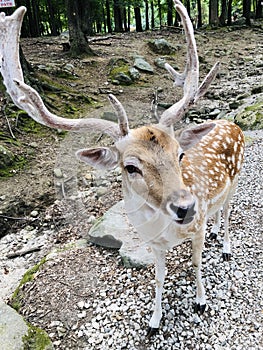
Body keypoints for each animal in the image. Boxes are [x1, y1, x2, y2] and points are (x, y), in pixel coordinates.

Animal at [0, 0, 245, 336]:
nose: (186, 207)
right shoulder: (154, 244)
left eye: (180, 154)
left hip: (236, 179)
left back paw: (226, 245)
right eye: (130, 167)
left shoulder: (195, 230)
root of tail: (232, 123)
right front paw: (154, 321)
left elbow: (196, 264)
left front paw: (200, 301)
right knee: (219, 213)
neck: (166, 231)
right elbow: (158, 278)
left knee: (229, 212)